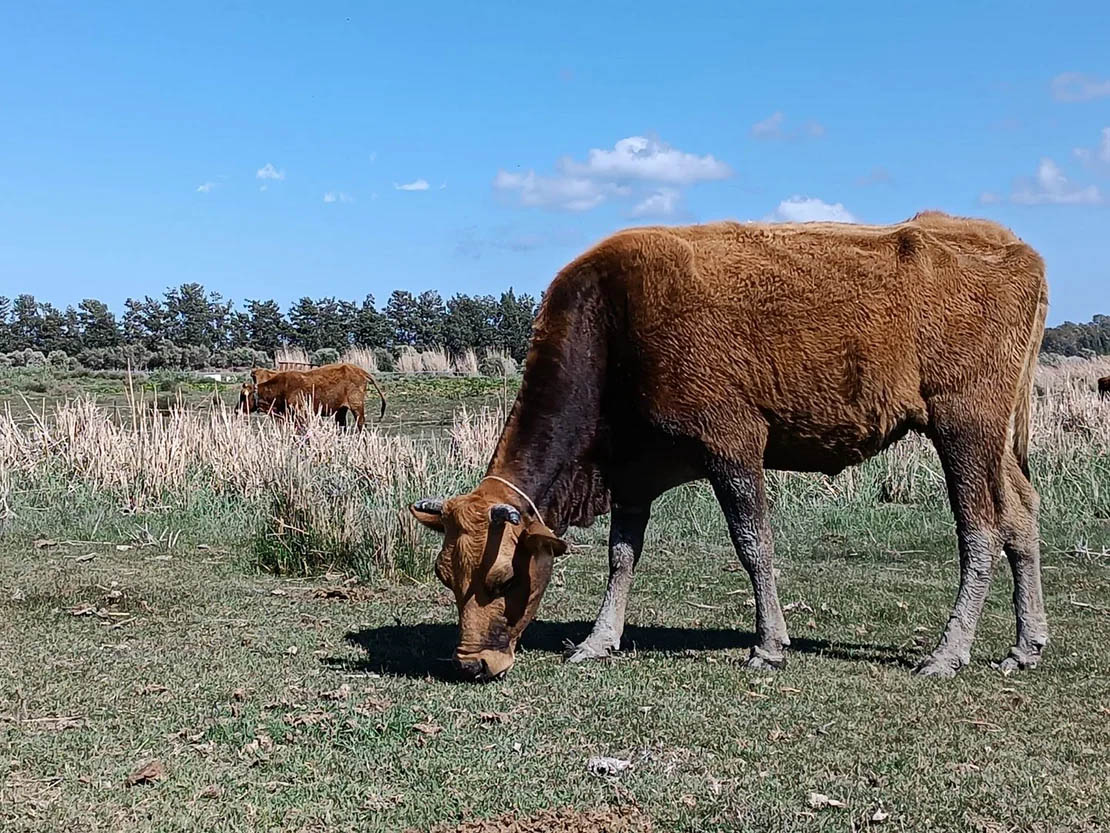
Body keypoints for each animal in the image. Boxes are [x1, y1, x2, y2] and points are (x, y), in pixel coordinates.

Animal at [239, 362, 386, 429]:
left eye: (243, 396)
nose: (236, 410)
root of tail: (360, 370)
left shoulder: (300, 414)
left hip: (357, 408)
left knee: (361, 426)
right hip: (341, 411)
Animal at [410, 212, 1049, 682]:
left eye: (500, 579)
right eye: (444, 576)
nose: (472, 663)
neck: (614, 321)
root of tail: (1019, 248)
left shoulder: (733, 445)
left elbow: (752, 544)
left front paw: (768, 644)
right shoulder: (633, 474)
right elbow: (622, 555)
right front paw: (598, 639)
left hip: (964, 429)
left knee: (981, 531)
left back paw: (948, 652)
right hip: (996, 444)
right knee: (1021, 517)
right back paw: (1026, 644)